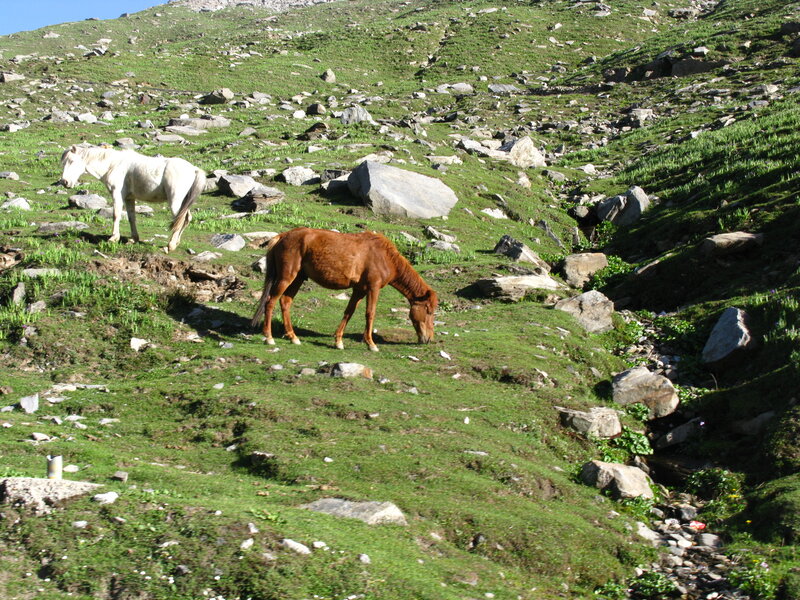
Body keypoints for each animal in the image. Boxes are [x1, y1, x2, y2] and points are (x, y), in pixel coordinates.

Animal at [59, 144, 206, 253]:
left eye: (72, 161)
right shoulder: (130, 198)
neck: (114, 165)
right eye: (64, 162)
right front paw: (133, 239)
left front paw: (113, 238)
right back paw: (176, 243)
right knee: (186, 219)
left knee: (179, 220)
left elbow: (116, 214)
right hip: (184, 202)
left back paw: (170, 246)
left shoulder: (117, 194)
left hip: (175, 202)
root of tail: (194, 169)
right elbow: (131, 217)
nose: (65, 182)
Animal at [251, 227, 437, 352]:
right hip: (286, 278)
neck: (385, 257)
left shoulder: (359, 290)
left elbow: (349, 312)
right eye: (428, 311)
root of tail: (282, 236)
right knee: (270, 301)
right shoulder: (373, 288)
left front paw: (338, 341)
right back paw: (269, 337)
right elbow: (370, 314)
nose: (428, 339)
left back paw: (293, 337)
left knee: (285, 302)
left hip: (297, 279)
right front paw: (371, 344)